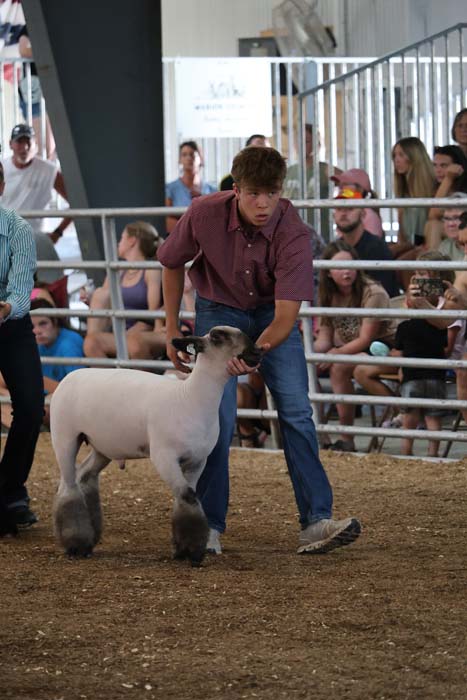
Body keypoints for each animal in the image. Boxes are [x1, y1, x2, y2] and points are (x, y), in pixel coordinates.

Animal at [50, 326, 261, 567]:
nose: (258, 352)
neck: (191, 398)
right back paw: (75, 544)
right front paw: (192, 553)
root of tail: (70, 375)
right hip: (65, 437)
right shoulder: (163, 456)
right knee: (68, 486)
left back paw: (89, 540)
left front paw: (182, 550)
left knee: (83, 476)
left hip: (102, 446)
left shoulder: (197, 460)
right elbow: (188, 495)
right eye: (218, 337)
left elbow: (186, 498)